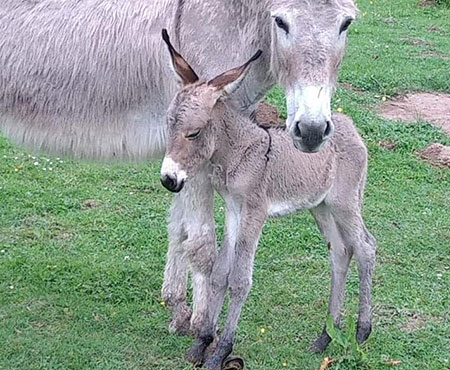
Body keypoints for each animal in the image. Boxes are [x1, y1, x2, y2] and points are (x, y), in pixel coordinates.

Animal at [160, 33, 374, 368]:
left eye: (193, 133)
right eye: (169, 125)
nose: (168, 179)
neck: (239, 151)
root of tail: (348, 124)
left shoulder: (255, 213)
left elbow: (239, 281)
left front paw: (221, 351)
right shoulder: (234, 211)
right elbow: (220, 274)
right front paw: (202, 342)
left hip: (345, 202)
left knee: (365, 248)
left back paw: (363, 330)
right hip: (321, 207)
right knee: (341, 252)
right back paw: (325, 336)